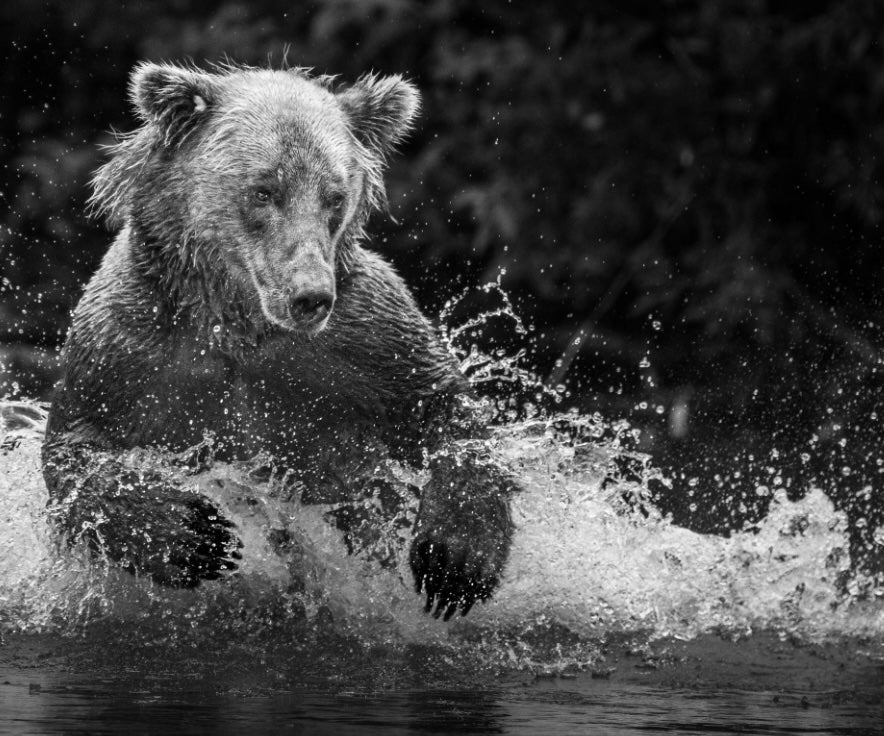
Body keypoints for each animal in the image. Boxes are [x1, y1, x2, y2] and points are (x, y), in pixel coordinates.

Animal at [41, 61, 515, 621]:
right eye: (264, 190)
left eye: (334, 195)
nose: (310, 295)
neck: (239, 323)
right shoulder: (126, 348)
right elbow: (77, 452)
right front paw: (199, 534)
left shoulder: (364, 338)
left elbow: (444, 411)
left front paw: (454, 560)